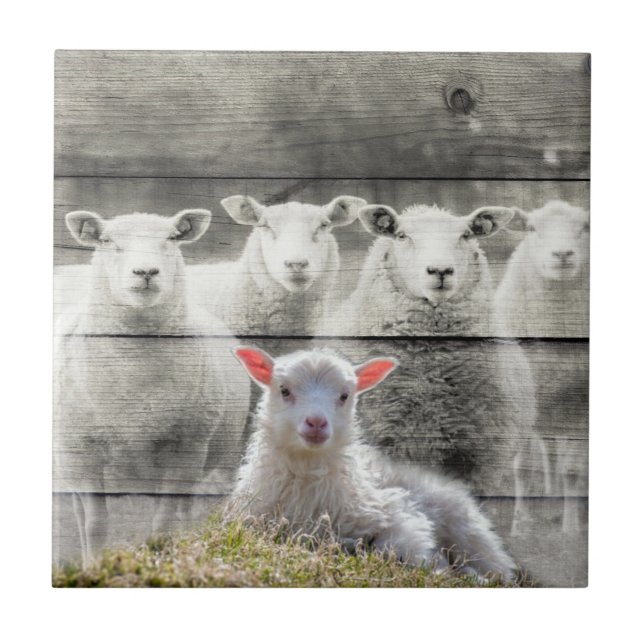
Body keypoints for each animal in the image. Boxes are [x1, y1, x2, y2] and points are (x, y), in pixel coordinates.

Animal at [54, 209, 251, 565]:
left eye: (172, 238)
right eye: (107, 240)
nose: (146, 271)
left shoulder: (185, 449)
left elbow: (162, 522)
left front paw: (162, 558)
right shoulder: (83, 453)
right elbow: (95, 524)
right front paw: (95, 564)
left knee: (183, 511)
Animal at [228, 346, 516, 580]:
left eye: (344, 396)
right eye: (284, 390)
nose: (316, 423)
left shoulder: (399, 515)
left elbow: (397, 548)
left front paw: (438, 568)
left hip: (470, 534)